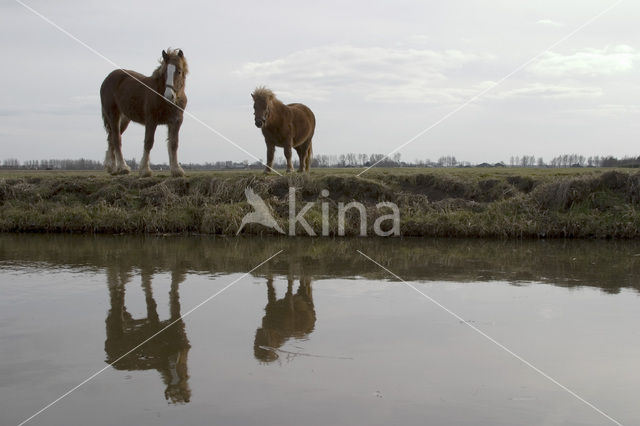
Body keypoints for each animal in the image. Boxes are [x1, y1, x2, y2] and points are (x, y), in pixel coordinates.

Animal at [99, 48, 186, 176]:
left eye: (179, 71)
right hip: (113, 115)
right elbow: (148, 142)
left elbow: (174, 144)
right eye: (165, 72)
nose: (169, 96)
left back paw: (112, 167)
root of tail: (107, 79)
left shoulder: (176, 122)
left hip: (124, 120)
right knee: (116, 139)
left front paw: (176, 169)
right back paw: (122, 167)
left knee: (111, 138)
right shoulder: (151, 120)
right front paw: (145, 170)